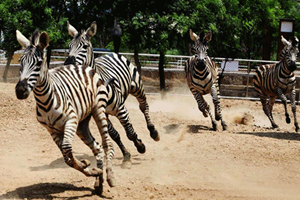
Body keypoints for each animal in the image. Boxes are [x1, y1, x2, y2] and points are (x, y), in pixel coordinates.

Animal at [14, 28, 116, 195]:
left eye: (39, 63)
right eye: (20, 62)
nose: (20, 91)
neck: (44, 100)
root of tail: (83, 65)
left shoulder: (71, 120)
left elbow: (67, 150)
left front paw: (87, 166)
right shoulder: (52, 130)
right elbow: (67, 159)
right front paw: (89, 168)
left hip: (98, 110)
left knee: (107, 144)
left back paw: (110, 177)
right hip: (82, 125)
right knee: (98, 148)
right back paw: (99, 182)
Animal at [64, 21, 161, 168]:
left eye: (85, 46)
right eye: (69, 47)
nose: (68, 63)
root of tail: (113, 53)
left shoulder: (121, 108)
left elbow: (130, 132)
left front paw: (140, 146)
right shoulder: (101, 113)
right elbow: (115, 135)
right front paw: (126, 155)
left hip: (137, 87)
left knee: (144, 107)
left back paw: (153, 132)